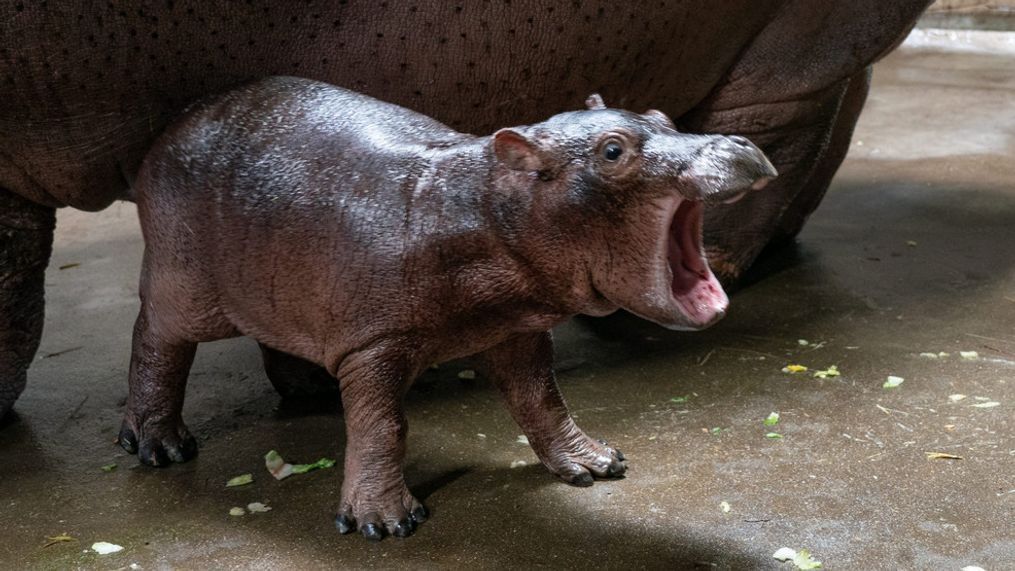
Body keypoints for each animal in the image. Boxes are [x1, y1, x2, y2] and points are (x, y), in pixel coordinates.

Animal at [124, 79, 775, 539]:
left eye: (662, 117)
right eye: (612, 150)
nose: (737, 143)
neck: (487, 206)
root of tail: (176, 122)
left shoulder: (517, 329)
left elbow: (541, 398)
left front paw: (596, 464)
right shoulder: (375, 345)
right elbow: (383, 426)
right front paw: (383, 523)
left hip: (277, 283)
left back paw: (312, 388)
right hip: (184, 286)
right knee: (154, 339)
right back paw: (161, 448)